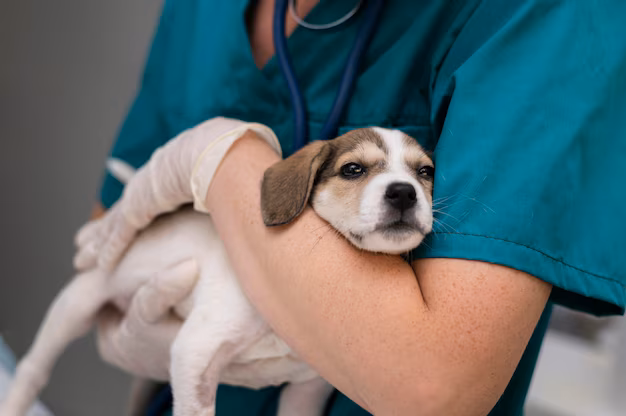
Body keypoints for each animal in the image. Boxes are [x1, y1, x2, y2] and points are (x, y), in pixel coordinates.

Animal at [0, 127, 434, 416]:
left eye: (425, 172)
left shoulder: (307, 389)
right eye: (353, 169)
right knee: (33, 369)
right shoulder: (194, 353)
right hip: (78, 302)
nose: (403, 192)